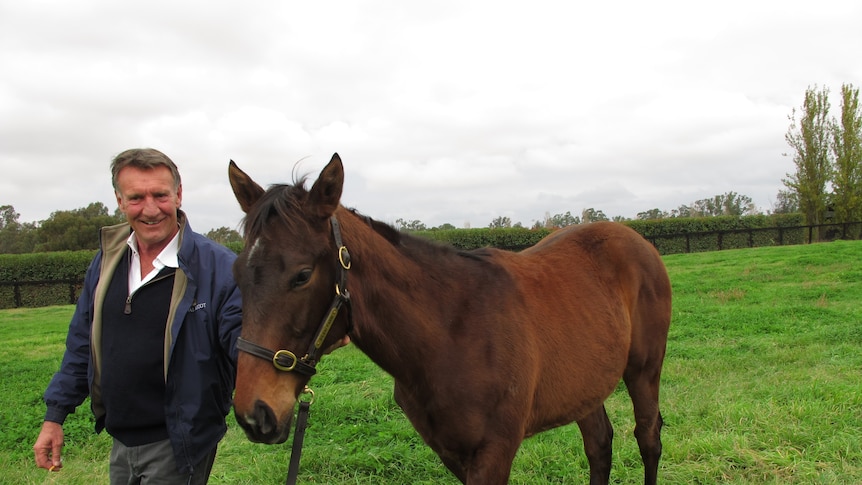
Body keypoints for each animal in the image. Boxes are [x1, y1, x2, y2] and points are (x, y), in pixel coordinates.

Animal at [226, 153, 672, 482]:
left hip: (644, 370)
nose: (255, 414)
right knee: (599, 444)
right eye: (237, 275)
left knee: (648, 437)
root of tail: (637, 240)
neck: (450, 333)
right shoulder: (453, 454)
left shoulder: (494, 453)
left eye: (302, 275)